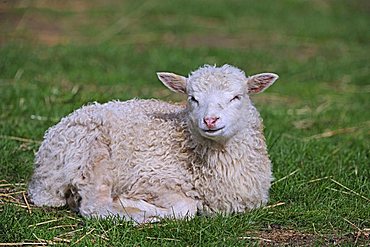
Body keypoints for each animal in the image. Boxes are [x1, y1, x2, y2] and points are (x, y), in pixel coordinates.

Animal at [28, 64, 278, 223]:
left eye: (237, 97)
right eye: (192, 98)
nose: (210, 120)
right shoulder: (150, 177)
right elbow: (186, 209)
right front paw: (135, 203)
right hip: (91, 154)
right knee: (94, 206)